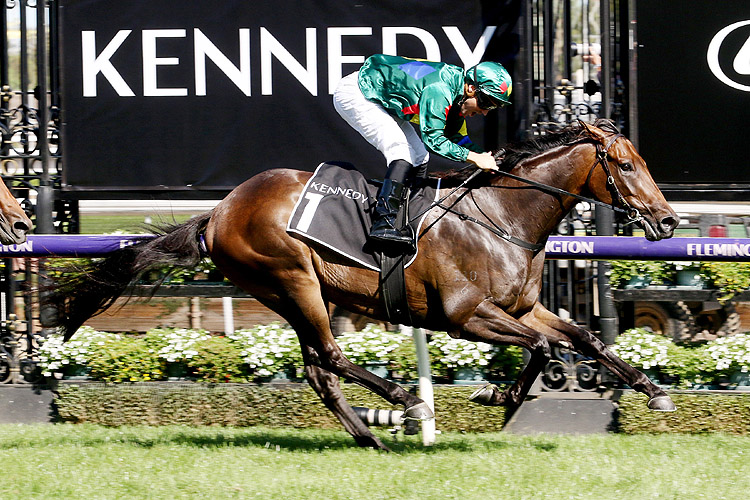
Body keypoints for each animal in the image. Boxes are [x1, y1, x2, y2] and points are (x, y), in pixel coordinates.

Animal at [47, 119, 680, 452]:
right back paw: (402, 403)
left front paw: (653, 390)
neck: (504, 215)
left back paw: (371, 438)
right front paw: (495, 397)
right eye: (625, 166)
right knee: (329, 357)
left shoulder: (521, 308)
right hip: (291, 278)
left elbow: (581, 338)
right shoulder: (465, 315)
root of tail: (218, 211)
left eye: (645, 161)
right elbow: (545, 348)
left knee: (319, 370)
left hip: (298, 294)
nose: (669, 221)